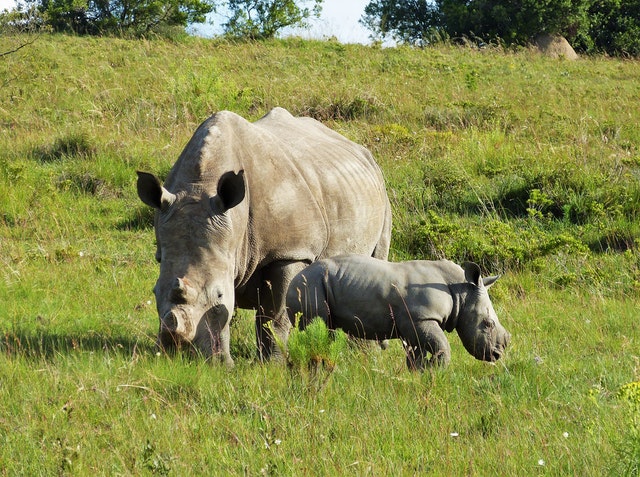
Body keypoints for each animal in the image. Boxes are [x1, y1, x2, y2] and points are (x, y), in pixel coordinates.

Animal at [284, 255, 510, 370]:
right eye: (487, 324)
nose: (497, 355)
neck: (461, 291)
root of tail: (294, 279)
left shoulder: (413, 323)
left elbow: (417, 353)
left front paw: (421, 371)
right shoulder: (421, 317)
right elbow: (442, 345)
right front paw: (436, 368)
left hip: (316, 283)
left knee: (326, 331)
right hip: (310, 285)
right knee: (317, 328)